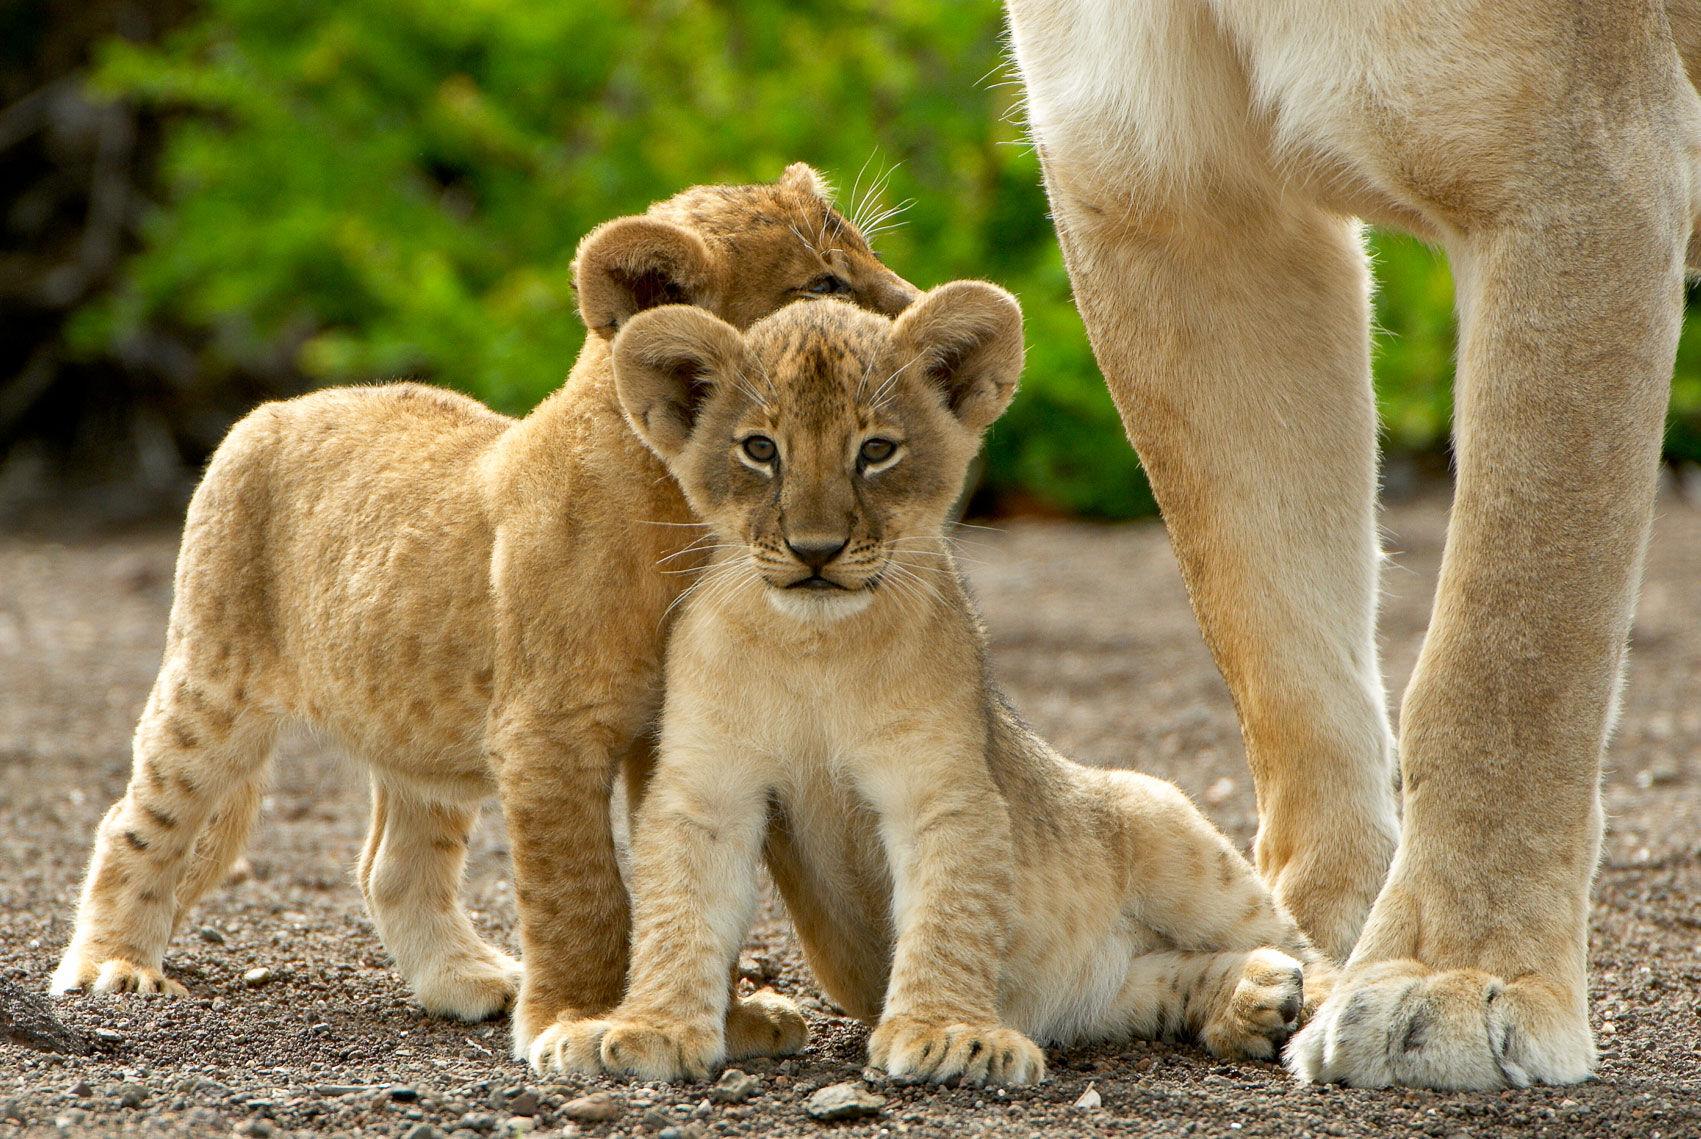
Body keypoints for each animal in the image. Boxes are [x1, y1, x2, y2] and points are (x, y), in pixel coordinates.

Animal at [48, 165, 917, 1068]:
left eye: (869, 253)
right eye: (823, 285)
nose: (925, 310)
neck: (683, 514)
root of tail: (277, 407)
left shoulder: (668, 734)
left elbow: (676, 875)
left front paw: (725, 1019)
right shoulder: (547, 731)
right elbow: (583, 892)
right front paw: (576, 1019)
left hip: (414, 720)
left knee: (392, 866)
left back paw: (465, 980)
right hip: (214, 680)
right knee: (137, 820)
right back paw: (114, 964)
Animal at [527, 284, 1335, 1086]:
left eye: (876, 450)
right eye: (760, 449)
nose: (814, 551)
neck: (814, 645)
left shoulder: (941, 782)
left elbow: (948, 910)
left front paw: (950, 1035)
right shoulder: (707, 786)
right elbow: (677, 911)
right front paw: (642, 1028)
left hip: (1165, 825)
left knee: (1285, 932)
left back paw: (1316, 1005)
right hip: (1111, 992)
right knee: (1169, 974)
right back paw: (1250, 999)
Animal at [1001, 0, 1701, 1089]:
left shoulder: (1584, 164)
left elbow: (1508, 652)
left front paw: (1458, 975)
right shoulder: (1177, 200)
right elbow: (1276, 648)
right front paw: (1315, 948)